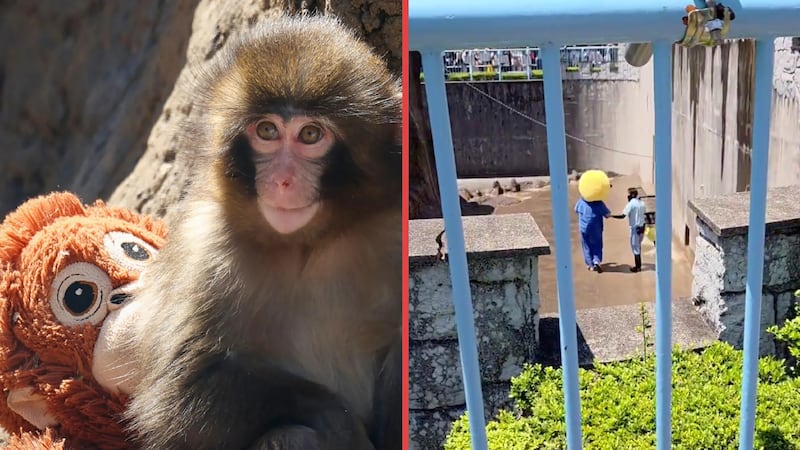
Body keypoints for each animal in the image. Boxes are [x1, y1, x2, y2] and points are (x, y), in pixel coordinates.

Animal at [121, 14, 402, 450]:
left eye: (310, 135)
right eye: (267, 131)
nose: (283, 180)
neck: (306, 244)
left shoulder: (391, 232)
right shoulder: (205, 246)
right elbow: (177, 396)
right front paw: (338, 422)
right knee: (290, 435)